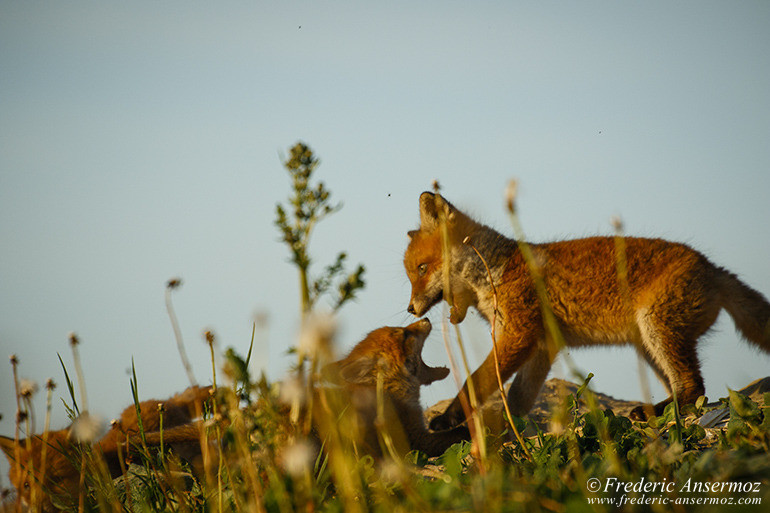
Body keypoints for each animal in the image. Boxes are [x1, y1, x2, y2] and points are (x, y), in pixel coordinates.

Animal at [402, 190, 768, 426]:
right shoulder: (543, 344)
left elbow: (475, 382)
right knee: (689, 388)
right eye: (411, 273)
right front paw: (509, 429)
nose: (409, 309)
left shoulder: (519, 335)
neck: (497, 270)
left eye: (421, 269)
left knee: (695, 387)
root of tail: (713, 268)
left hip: (657, 330)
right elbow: (519, 398)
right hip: (649, 345)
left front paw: (451, 416)